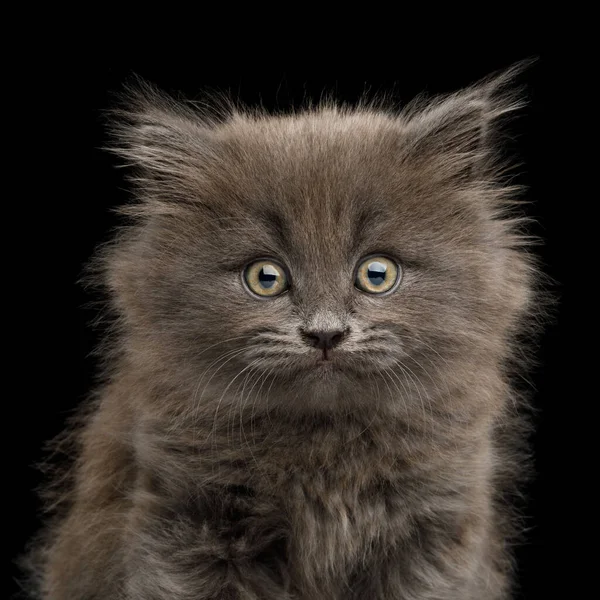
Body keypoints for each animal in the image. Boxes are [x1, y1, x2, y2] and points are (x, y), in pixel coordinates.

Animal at [24, 65, 540, 600]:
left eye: (377, 274)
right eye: (265, 277)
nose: (325, 333)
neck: (327, 454)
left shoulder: (437, 525)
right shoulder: (188, 522)